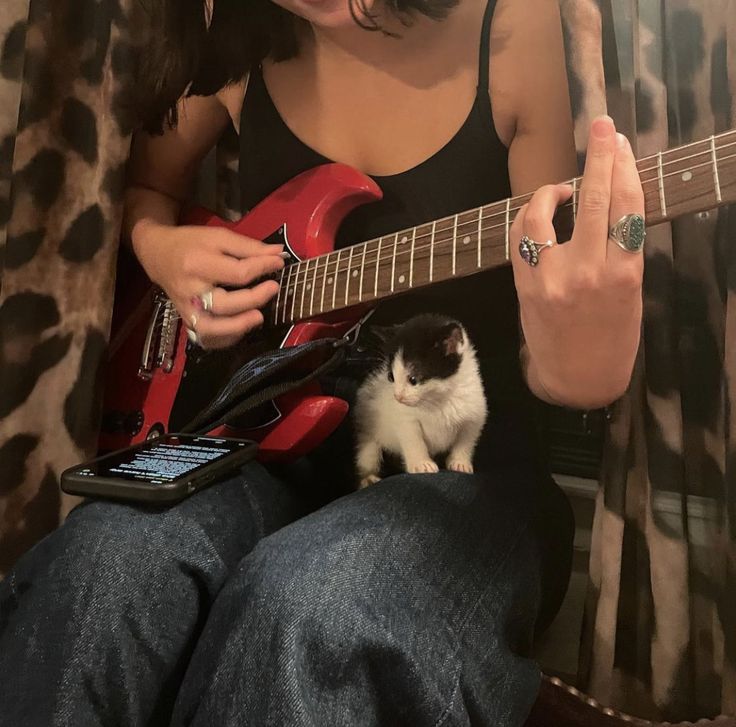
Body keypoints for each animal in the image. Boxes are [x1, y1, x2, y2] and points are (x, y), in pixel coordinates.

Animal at [352, 314, 486, 490]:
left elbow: (466, 440)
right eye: (391, 377)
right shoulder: (405, 419)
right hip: (367, 426)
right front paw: (421, 463)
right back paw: (367, 478)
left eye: (413, 379)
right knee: (368, 453)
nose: (398, 397)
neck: (438, 400)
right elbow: (413, 439)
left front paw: (460, 462)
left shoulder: (474, 413)